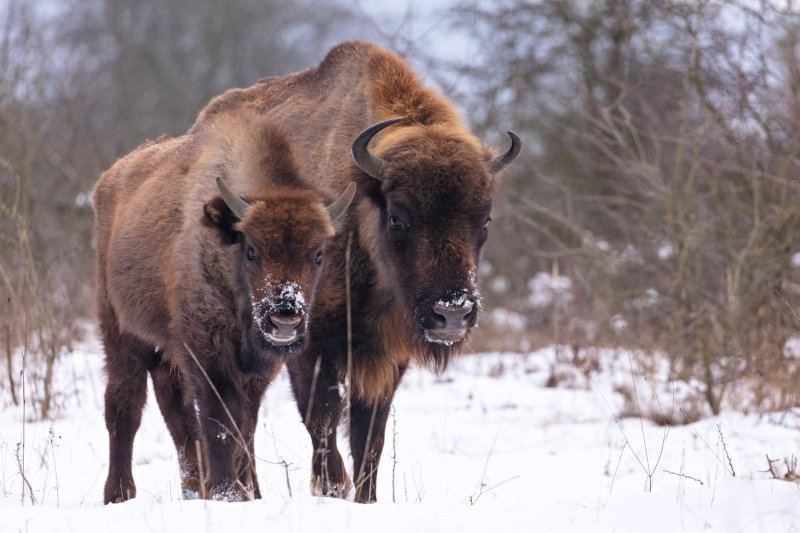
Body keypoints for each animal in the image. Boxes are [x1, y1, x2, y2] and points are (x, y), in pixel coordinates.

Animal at [94, 113, 356, 502]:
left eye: (318, 254)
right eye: (252, 250)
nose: (284, 318)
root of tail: (110, 178)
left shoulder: (258, 366)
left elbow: (244, 424)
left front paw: (249, 492)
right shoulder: (209, 352)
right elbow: (220, 422)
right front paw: (226, 493)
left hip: (167, 351)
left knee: (176, 411)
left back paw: (192, 488)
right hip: (121, 331)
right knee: (124, 404)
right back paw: (119, 493)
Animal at [191, 40, 520, 498]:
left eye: (484, 220)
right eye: (398, 217)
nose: (452, 314)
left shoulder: (386, 356)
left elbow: (370, 437)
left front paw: (365, 497)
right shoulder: (310, 346)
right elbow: (322, 420)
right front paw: (332, 486)